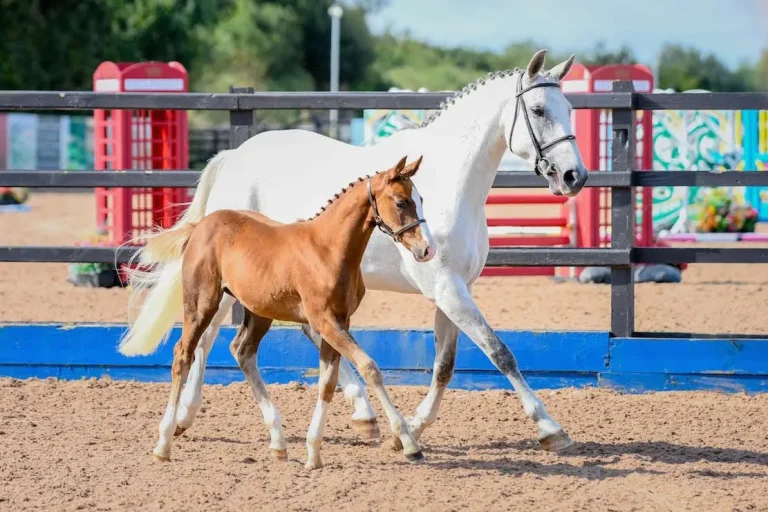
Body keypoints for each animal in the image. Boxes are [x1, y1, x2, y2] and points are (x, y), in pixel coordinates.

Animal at [119, 156, 434, 468]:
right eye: (401, 201)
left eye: (421, 199)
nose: (427, 250)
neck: (328, 249)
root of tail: (202, 225)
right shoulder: (325, 321)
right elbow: (369, 367)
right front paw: (409, 445)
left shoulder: (339, 320)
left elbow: (328, 382)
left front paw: (313, 453)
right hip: (202, 304)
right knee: (184, 353)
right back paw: (164, 443)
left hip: (259, 311)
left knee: (243, 351)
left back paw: (278, 441)